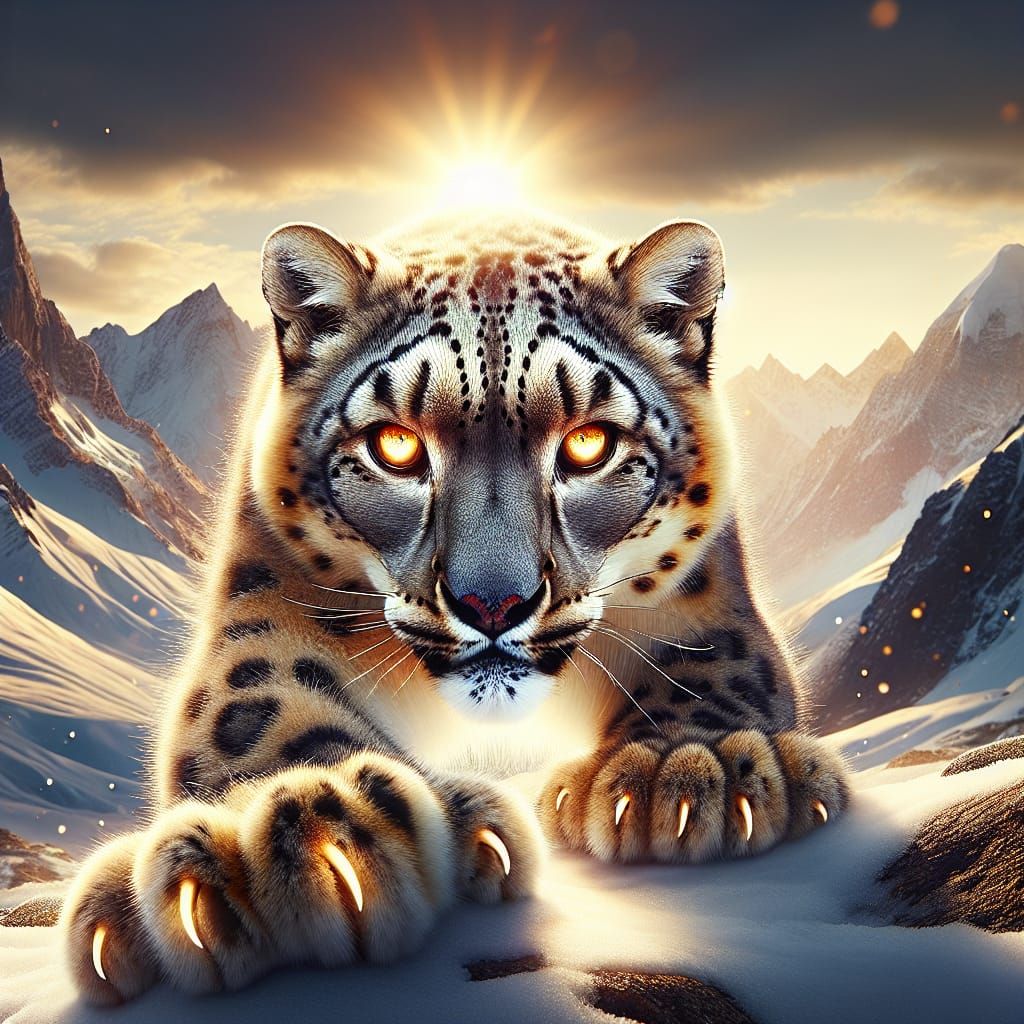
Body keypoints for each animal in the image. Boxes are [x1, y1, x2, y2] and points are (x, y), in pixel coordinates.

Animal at [61, 209, 849, 1004]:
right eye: (395, 445)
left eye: (588, 444)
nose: (492, 603)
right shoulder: (268, 598)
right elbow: (260, 698)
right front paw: (285, 834)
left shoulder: (703, 596)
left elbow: (712, 666)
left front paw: (685, 767)